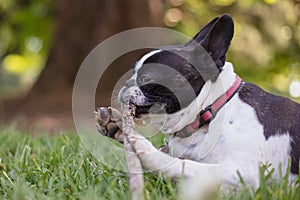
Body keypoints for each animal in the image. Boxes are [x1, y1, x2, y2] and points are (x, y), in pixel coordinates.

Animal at [95, 13, 298, 197]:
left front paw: (142, 146)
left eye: (146, 78)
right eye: (133, 72)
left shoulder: (243, 172)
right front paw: (116, 125)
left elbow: (183, 165)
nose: (126, 84)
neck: (210, 112)